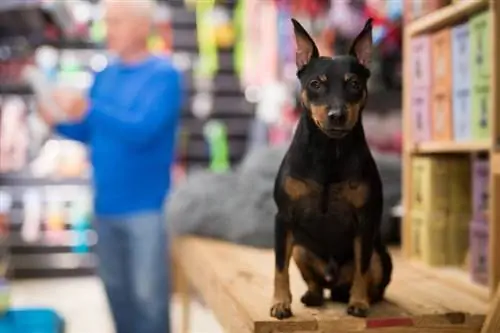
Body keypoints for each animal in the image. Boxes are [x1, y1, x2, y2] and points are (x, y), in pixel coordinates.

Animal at [272, 18, 392, 320]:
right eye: (315, 83)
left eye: (354, 84)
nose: (337, 115)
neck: (328, 149)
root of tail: (333, 282)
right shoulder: (283, 218)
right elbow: (279, 267)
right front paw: (280, 303)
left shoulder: (365, 221)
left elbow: (362, 268)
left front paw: (359, 302)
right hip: (301, 248)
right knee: (314, 281)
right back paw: (313, 295)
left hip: (379, 255)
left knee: (370, 277)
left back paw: (358, 298)